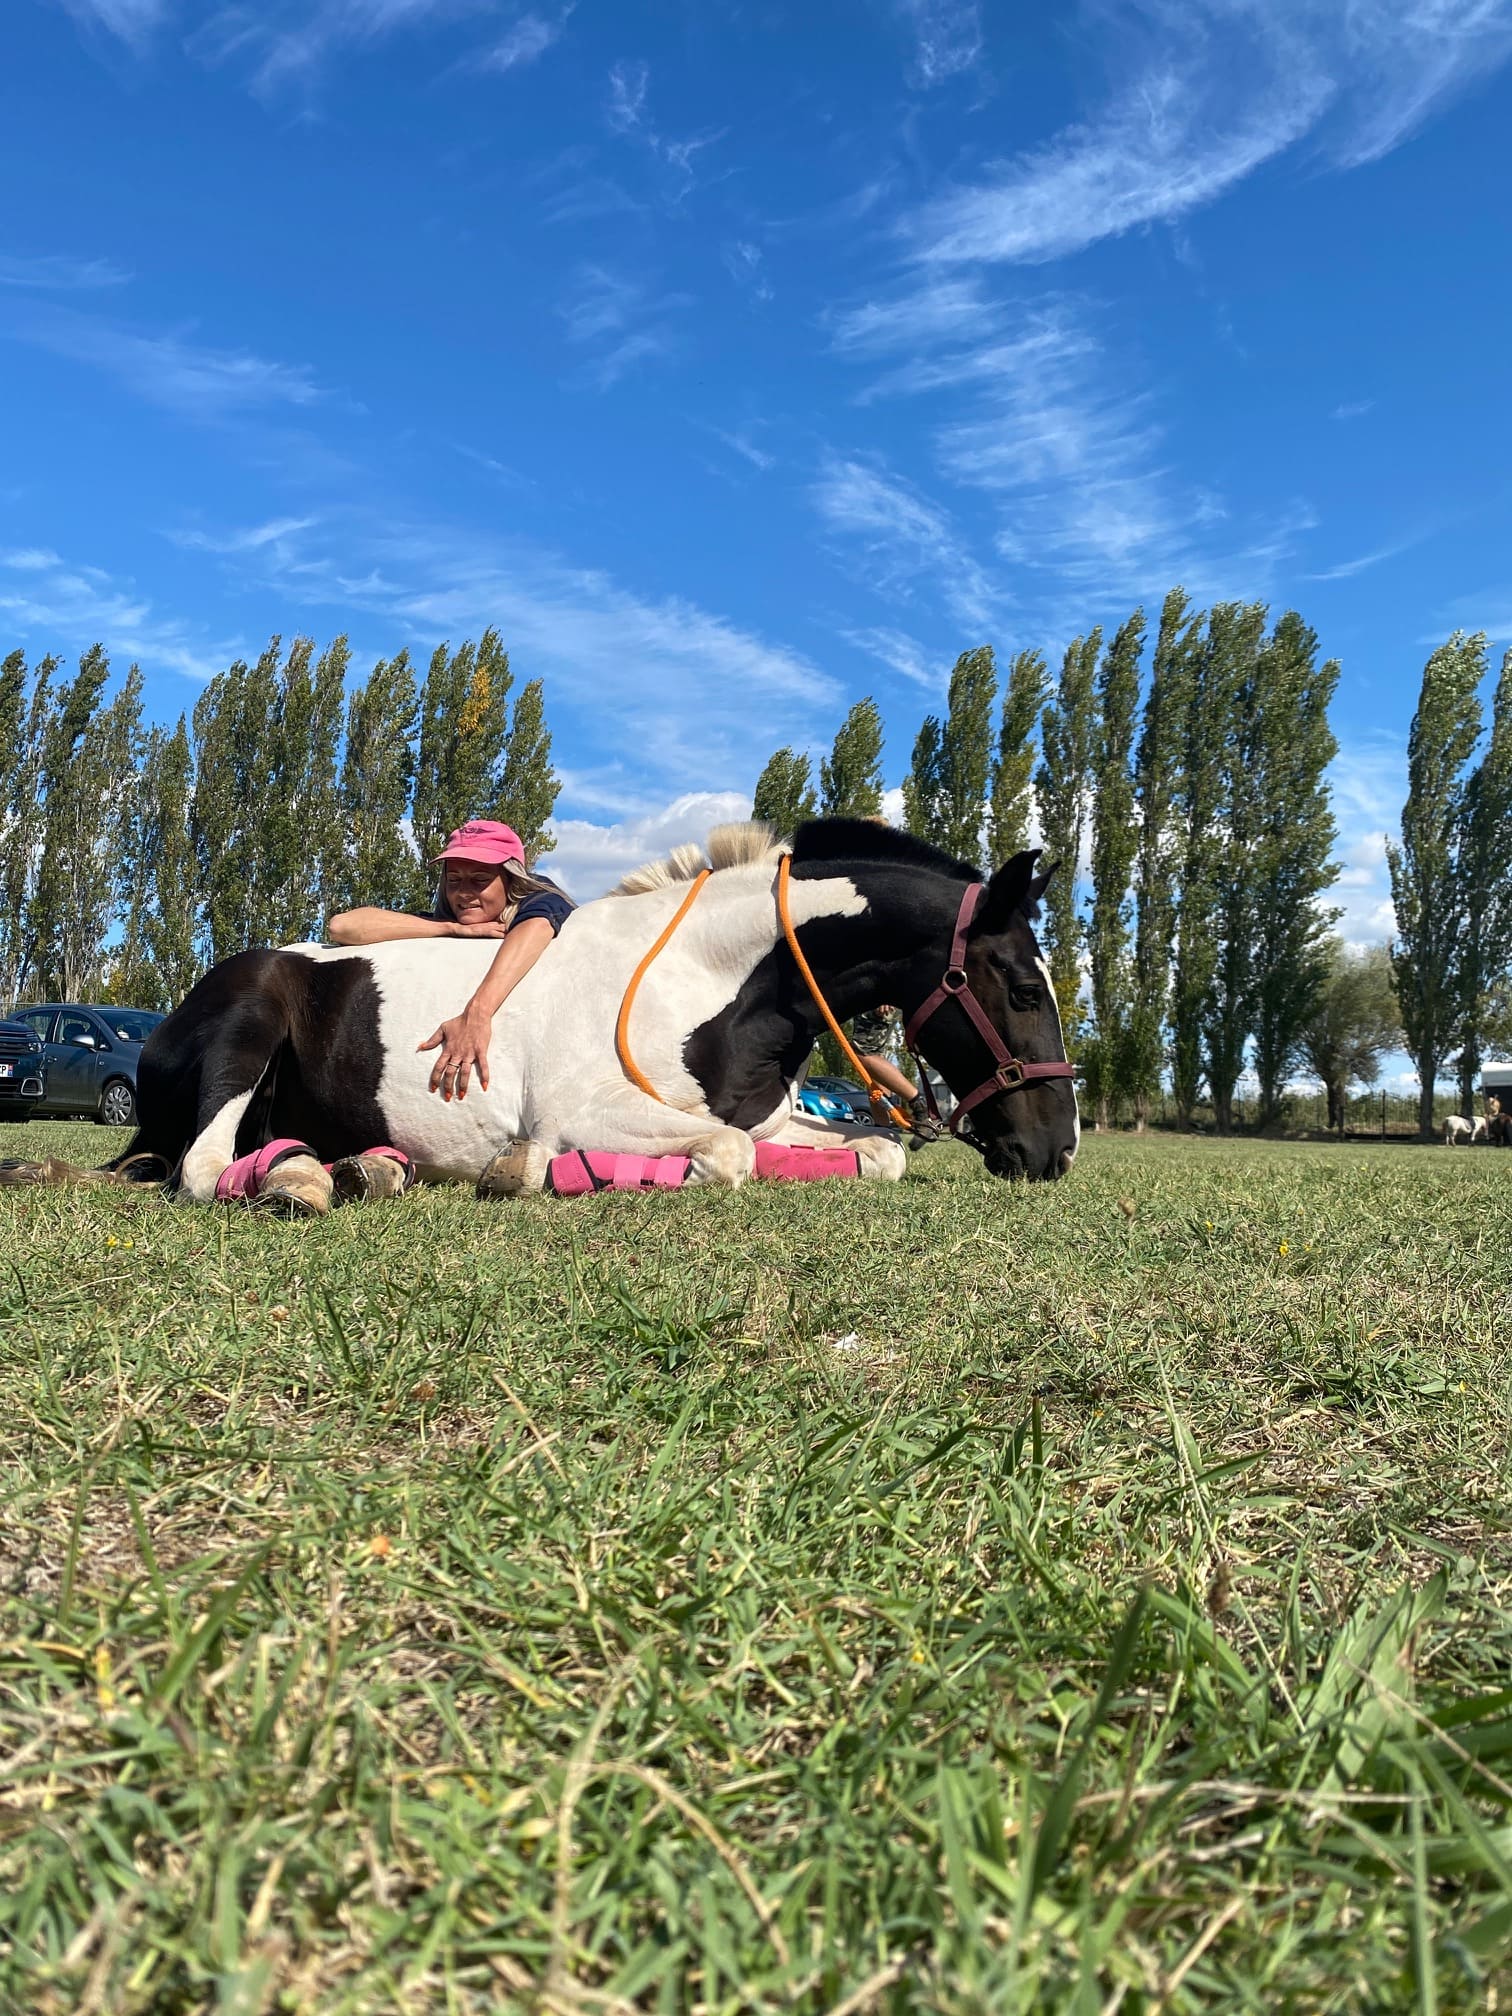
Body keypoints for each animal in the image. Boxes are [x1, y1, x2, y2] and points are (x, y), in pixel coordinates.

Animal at [3, 819, 1079, 1209]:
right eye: (1024, 989)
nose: (1055, 1150)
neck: (712, 980)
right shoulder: (589, 1110)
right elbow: (724, 1157)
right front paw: (533, 1172)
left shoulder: (774, 1116)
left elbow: (870, 1153)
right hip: (248, 1023)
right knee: (199, 1170)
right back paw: (310, 1178)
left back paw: (355, 1168)